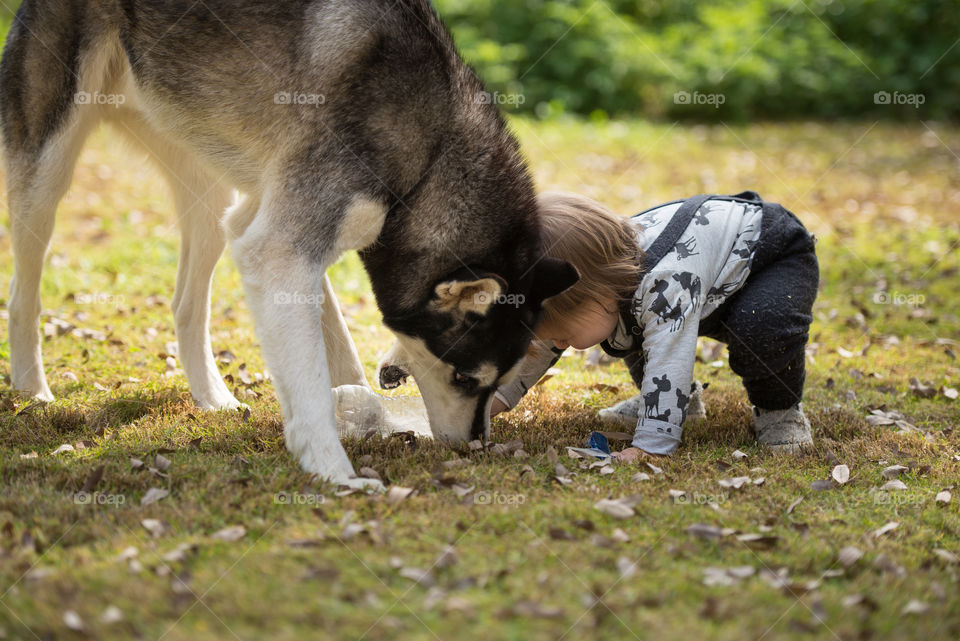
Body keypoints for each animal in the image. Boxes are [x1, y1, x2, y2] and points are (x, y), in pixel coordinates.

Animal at [1, 0, 576, 488]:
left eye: (500, 378)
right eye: (464, 377)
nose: (472, 446)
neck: (427, 161)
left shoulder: (270, 230)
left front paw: (365, 418)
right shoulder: (280, 248)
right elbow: (312, 377)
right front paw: (332, 468)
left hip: (211, 196)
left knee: (186, 303)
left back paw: (212, 398)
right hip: (47, 176)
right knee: (23, 293)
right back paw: (33, 391)